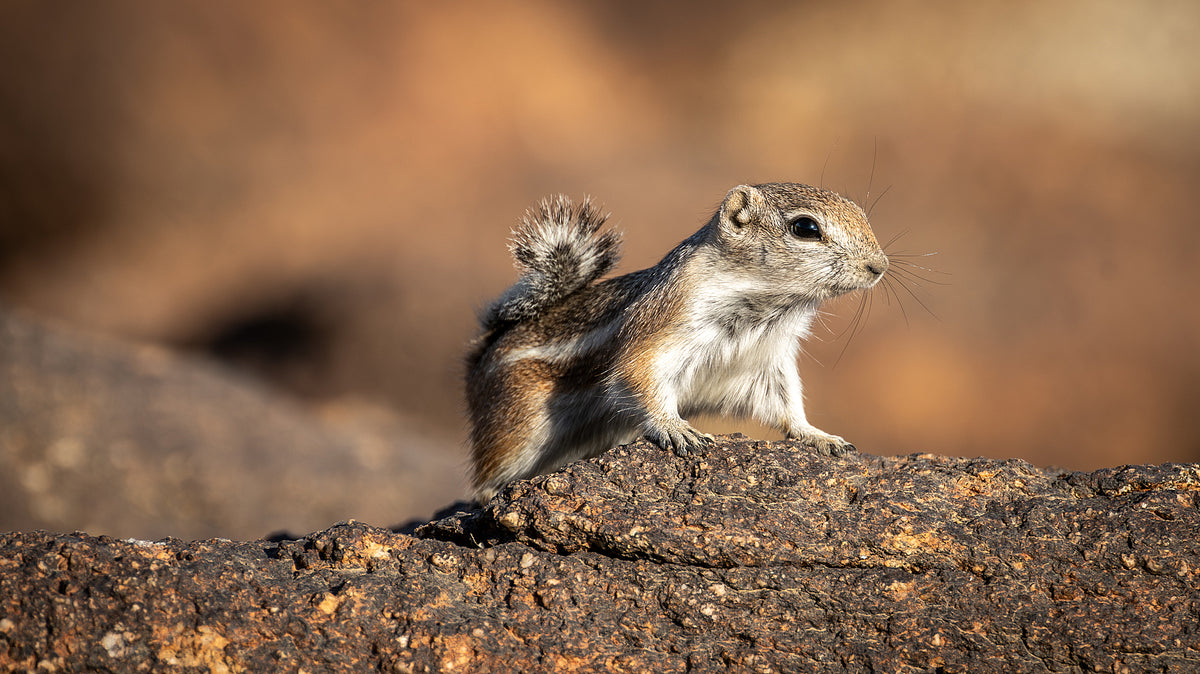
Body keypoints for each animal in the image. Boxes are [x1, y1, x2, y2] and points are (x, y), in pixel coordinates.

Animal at [465, 182, 889, 502]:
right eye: (805, 227)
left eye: (859, 212)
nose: (879, 266)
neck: (766, 307)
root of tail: (483, 352)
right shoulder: (658, 332)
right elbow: (637, 377)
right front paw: (676, 429)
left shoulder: (769, 364)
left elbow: (786, 405)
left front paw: (819, 436)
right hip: (518, 426)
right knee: (487, 475)